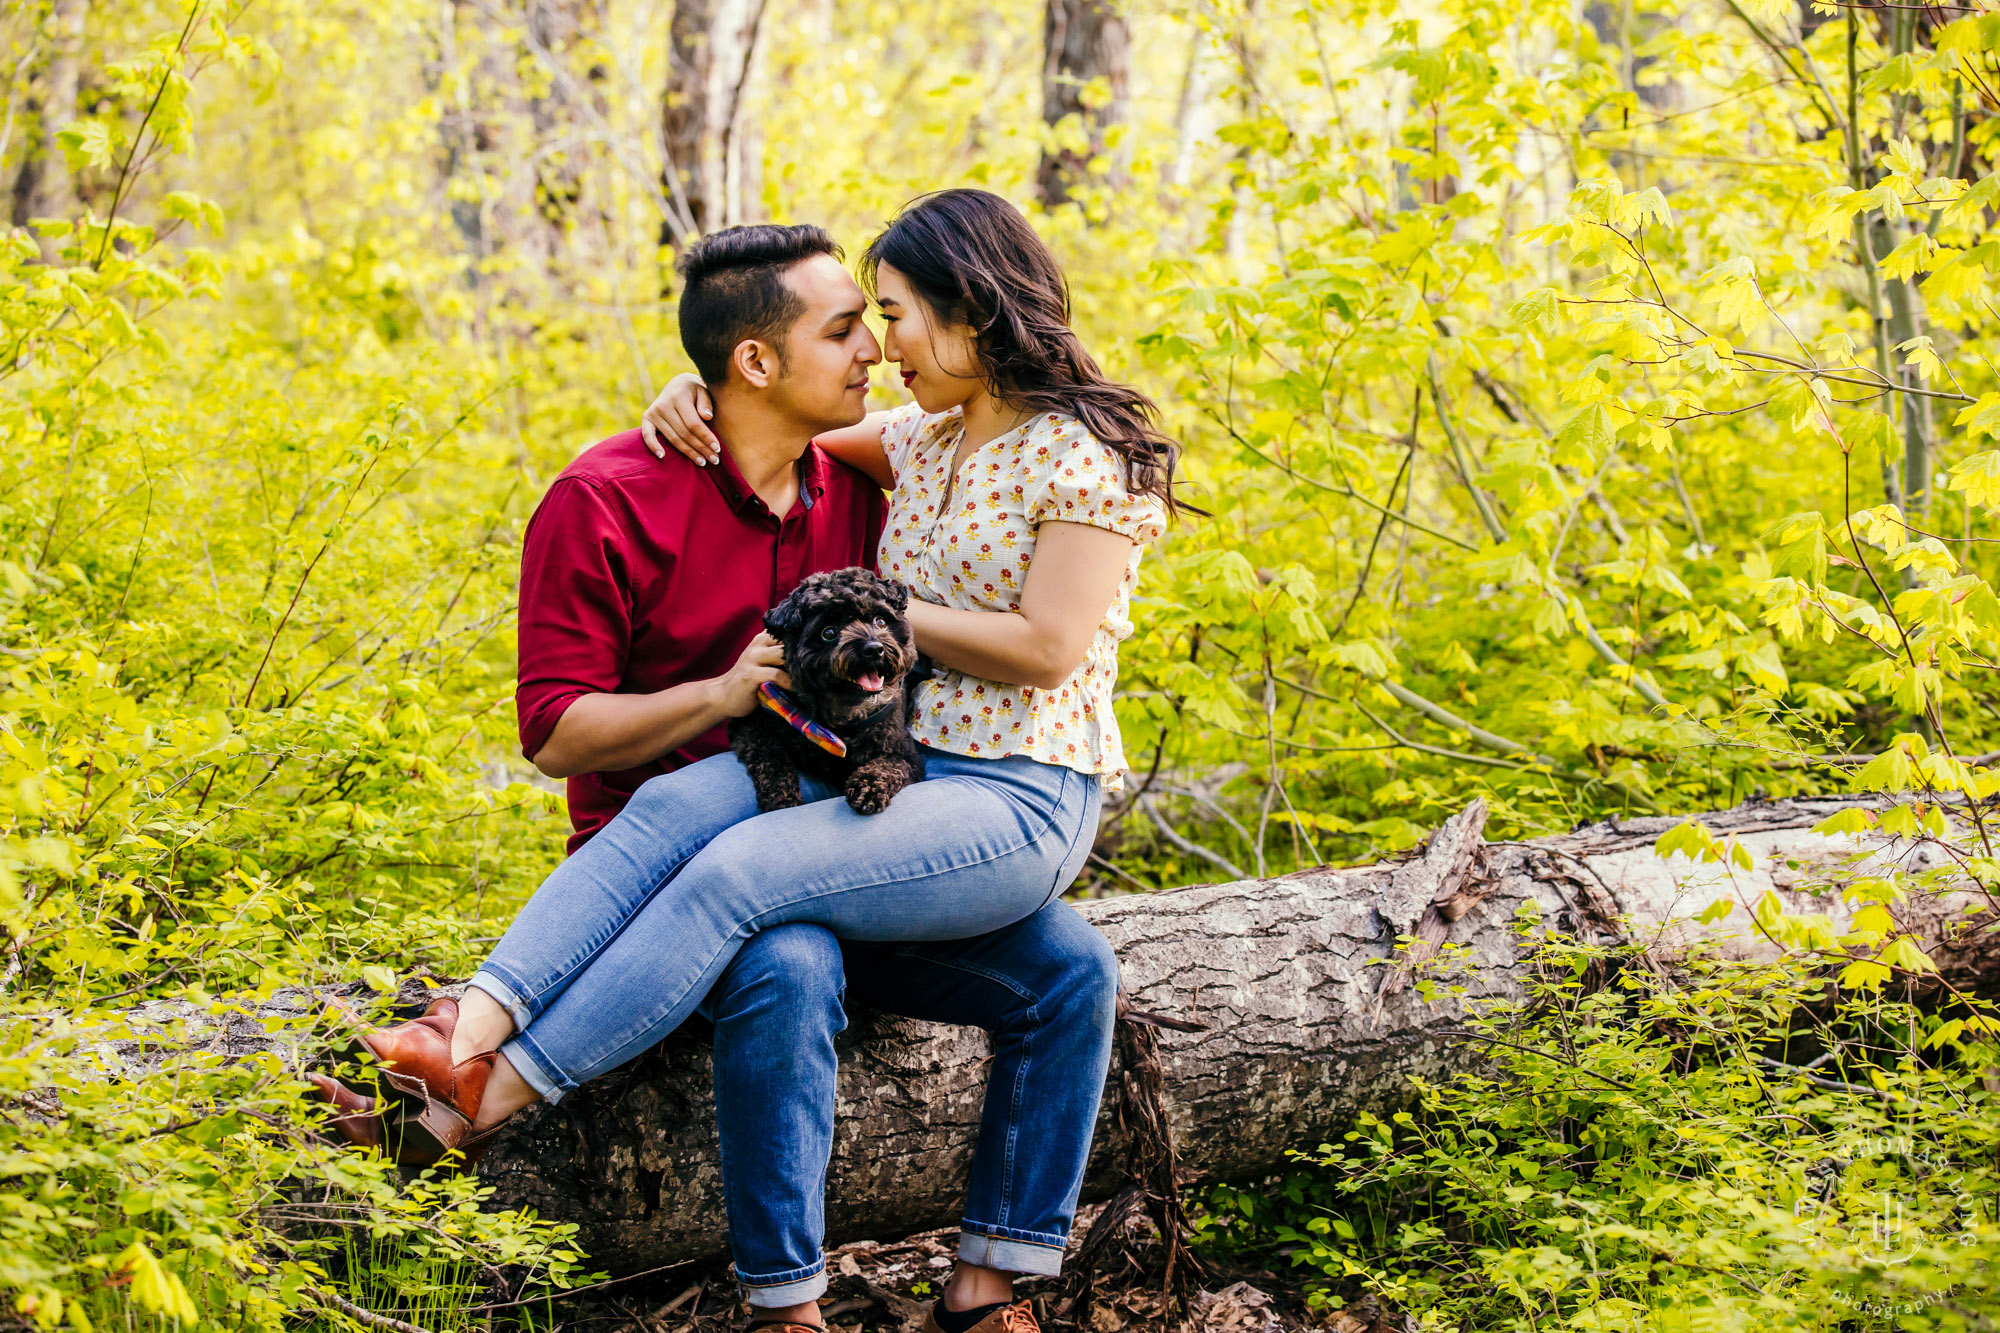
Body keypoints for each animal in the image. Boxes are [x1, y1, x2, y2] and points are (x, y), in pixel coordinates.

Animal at [728, 564, 928, 808]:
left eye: (880, 621)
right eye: (829, 632)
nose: (874, 649)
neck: (842, 718)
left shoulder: (907, 756)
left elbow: (888, 767)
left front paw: (867, 786)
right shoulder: (750, 723)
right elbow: (769, 755)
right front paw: (781, 795)